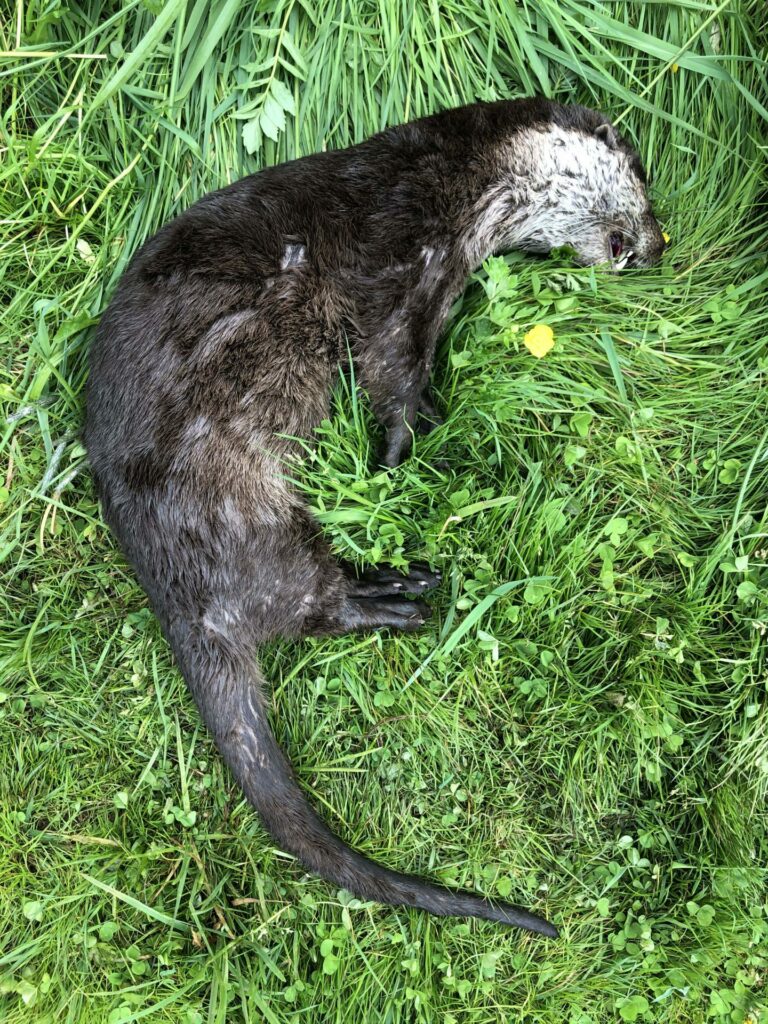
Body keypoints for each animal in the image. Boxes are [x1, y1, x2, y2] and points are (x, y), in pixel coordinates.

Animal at [84, 98, 665, 937]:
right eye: (643, 177)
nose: (658, 245)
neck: (457, 184)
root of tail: (172, 594)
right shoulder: (397, 261)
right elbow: (387, 368)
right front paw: (400, 454)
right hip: (238, 511)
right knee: (304, 606)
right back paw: (395, 596)